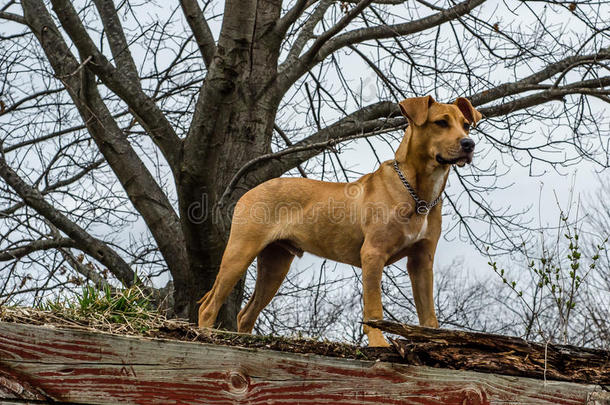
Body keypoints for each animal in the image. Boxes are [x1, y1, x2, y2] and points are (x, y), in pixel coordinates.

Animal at [198, 94, 480, 344]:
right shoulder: (373, 254)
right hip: (241, 251)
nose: (469, 144)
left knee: (246, 314)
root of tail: (251, 191)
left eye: (466, 124)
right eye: (440, 123)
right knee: (209, 304)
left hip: (275, 262)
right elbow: (374, 311)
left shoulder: (422, 261)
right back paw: (206, 335)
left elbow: (429, 316)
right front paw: (379, 344)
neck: (417, 191)